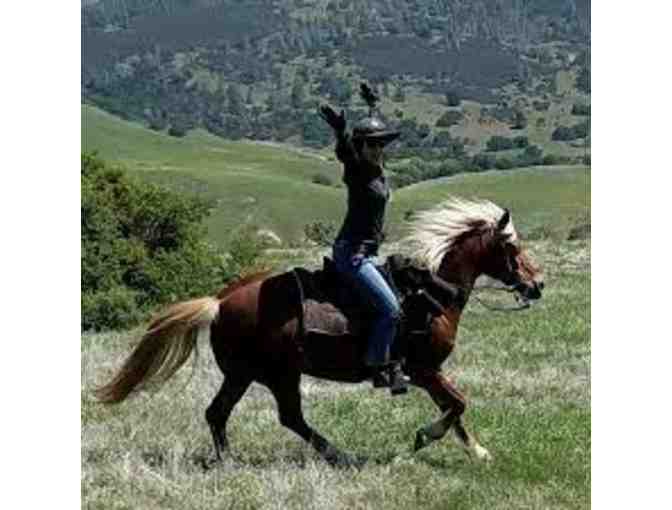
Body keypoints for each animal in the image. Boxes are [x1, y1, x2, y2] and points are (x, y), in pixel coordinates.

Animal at [95, 198, 544, 466]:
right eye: (512, 248)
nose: (536, 285)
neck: (433, 295)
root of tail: (220, 302)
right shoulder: (422, 370)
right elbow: (457, 404)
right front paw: (422, 437)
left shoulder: (428, 373)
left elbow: (454, 409)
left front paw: (477, 450)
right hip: (275, 374)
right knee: (286, 417)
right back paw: (339, 456)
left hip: (246, 374)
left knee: (221, 413)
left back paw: (231, 460)